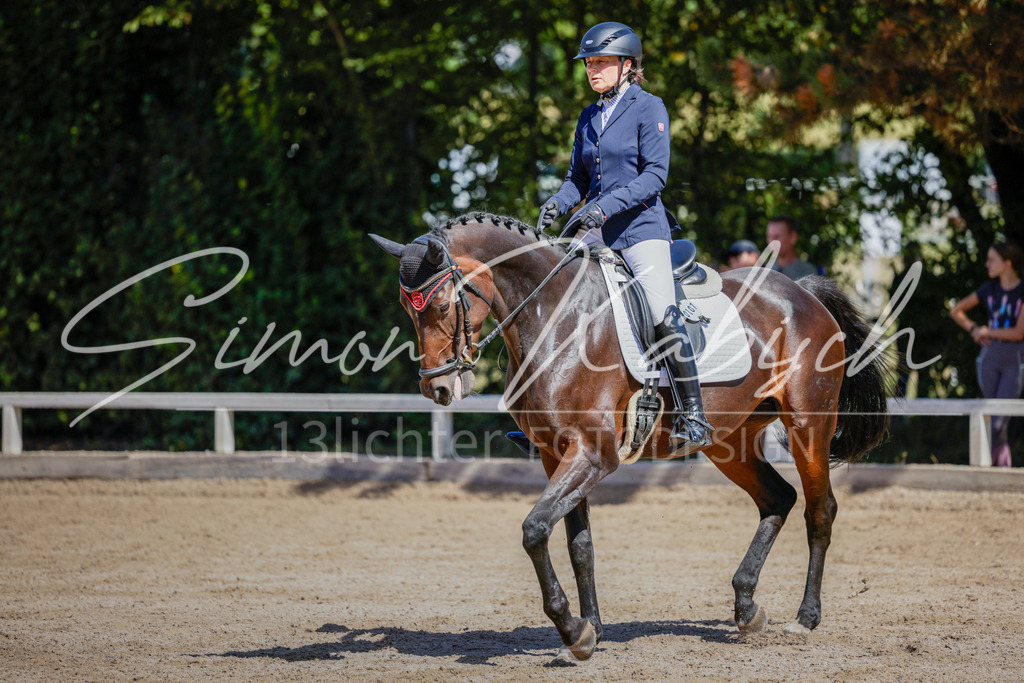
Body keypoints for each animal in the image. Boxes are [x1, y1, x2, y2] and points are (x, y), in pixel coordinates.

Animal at [370, 212, 894, 661]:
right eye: (405, 308)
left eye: (441, 304)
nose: (438, 388)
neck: (556, 314)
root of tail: (801, 292)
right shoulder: (555, 454)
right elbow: (579, 545)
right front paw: (591, 631)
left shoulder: (593, 454)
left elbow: (535, 530)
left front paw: (571, 630)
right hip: (730, 443)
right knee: (777, 499)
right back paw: (747, 608)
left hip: (809, 426)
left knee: (819, 511)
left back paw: (804, 618)